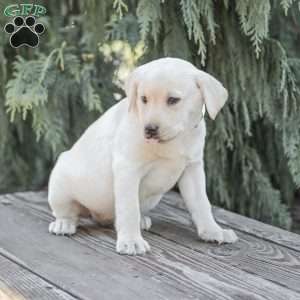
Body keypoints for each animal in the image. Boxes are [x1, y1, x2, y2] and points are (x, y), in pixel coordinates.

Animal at [48, 57, 238, 254]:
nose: (149, 130)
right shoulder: (128, 169)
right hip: (60, 185)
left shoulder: (192, 169)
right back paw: (63, 224)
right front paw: (131, 241)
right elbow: (129, 208)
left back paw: (141, 220)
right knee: (67, 212)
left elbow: (201, 203)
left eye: (173, 100)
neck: (175, 140)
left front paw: (213, 230)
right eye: (143, 99)